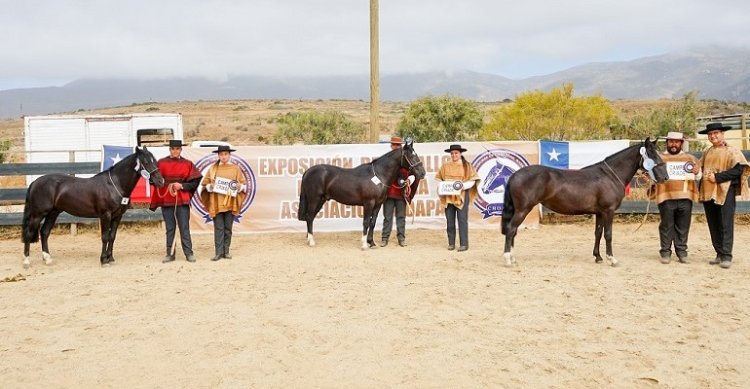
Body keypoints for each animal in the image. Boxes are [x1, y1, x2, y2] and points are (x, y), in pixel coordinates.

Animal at [22, 146, 164, 266]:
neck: (114, 185)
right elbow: (105, 237)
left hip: (53, 213)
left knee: (44, 232)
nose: (160, 181)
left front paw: (110, 258)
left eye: (155, 160)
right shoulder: (105, 215)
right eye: (146, 162)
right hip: (38, 214)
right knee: (29, 233)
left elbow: (112, 236)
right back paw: (26, 261)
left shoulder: (117, 216)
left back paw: (47, 258)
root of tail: (35, 182)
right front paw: (103, 260)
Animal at [300, 139, 428, 249]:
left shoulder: (378, 205)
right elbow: (366, 222)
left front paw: (371, 243)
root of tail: (308, 171)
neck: (378, 175)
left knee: (310, 217)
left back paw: (309, 239)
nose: (422, 173)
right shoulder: (368, 203)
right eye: (411, 155)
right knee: (309, 217)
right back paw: (311, 242)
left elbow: (373, 222)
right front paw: (364, 244)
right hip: (314, 199)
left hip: (321, 200)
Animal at [506, 137, 668, 266]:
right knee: (511, 229)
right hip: (522, 210)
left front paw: (598, 257)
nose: (665, 177)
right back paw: (508, 259)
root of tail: (515, 175)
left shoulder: (600, 213)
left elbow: (598, 233)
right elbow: (608, 234)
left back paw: (512, 258)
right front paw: (611, 259)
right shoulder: (608, 211)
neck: (610, 176)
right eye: (652, 155)